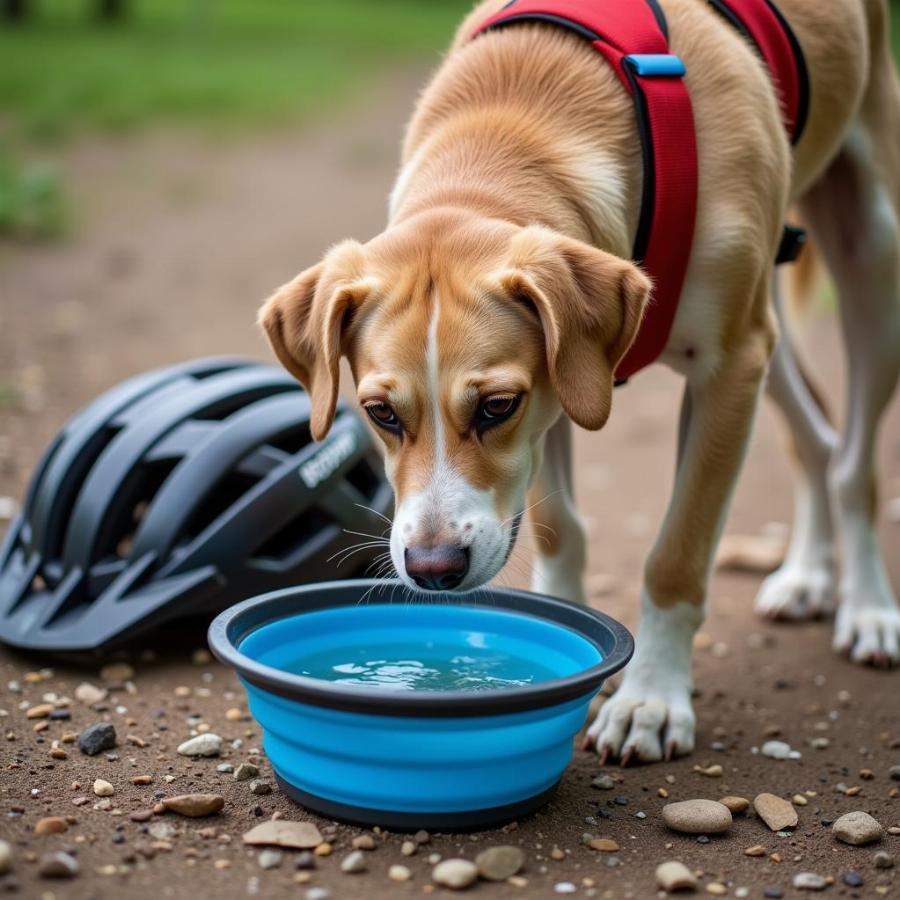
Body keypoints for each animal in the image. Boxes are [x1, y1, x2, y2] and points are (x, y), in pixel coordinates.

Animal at [258, 0, 900, 764]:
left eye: (496, 407)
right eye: (381, 413)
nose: (433, 569)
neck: (518, 113)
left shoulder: (727, 368)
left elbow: (677, 557)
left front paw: (652, 700)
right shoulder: (569, 387)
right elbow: (559, 527)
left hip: (870, 258)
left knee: (854, 459)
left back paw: (868, 607)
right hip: (769, 327)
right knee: (819, 436)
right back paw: (808, 574)